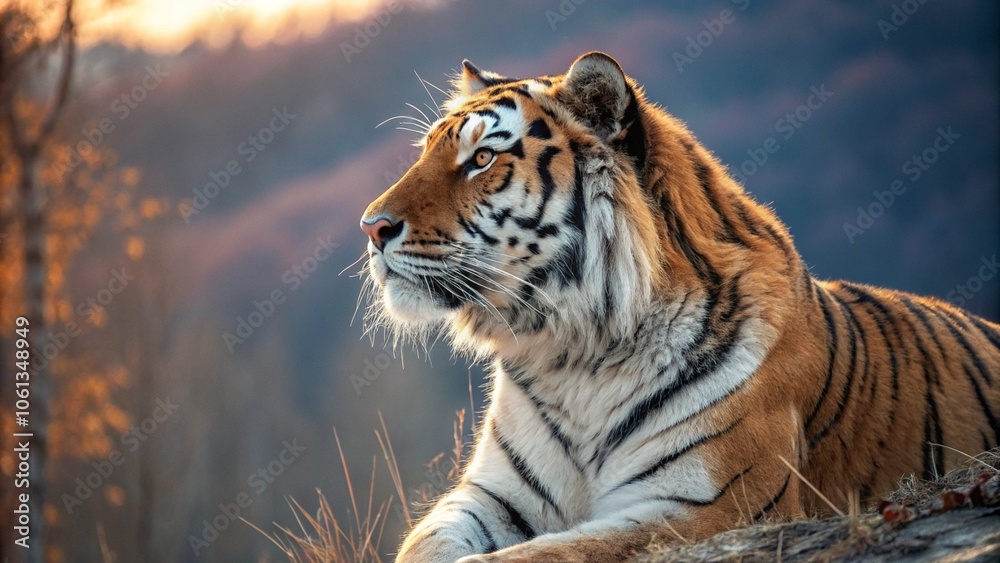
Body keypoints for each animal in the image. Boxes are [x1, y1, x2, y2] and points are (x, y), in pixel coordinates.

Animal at [358, 52, 1000, 562]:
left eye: (483, 160)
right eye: (426, 152)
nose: (371, 227)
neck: (574, 353)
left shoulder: (708, 504)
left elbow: (552, 553)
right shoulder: (489, 496)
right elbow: (423, 544)